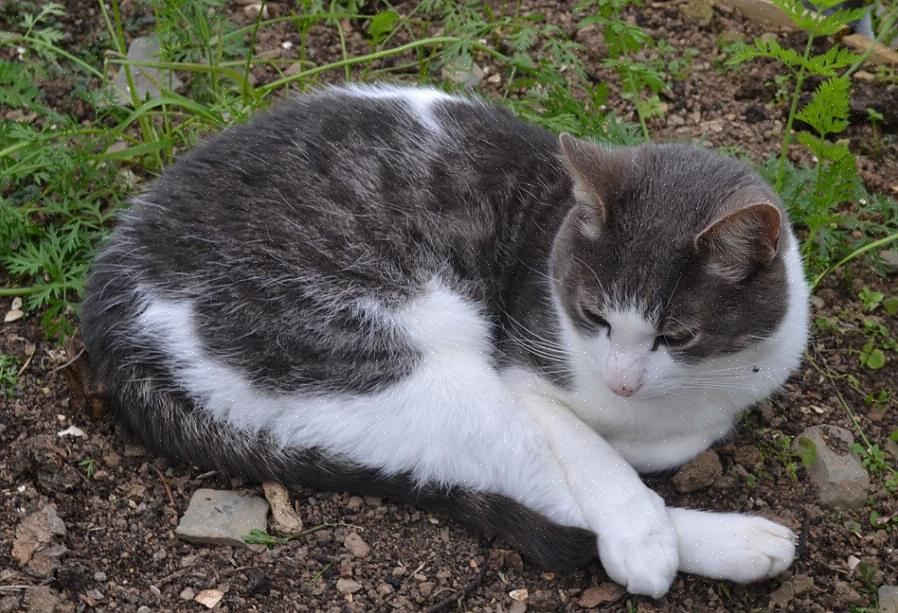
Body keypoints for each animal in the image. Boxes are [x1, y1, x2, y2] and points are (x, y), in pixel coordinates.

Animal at [80, 83, 808, 596]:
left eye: (676, 336)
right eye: (594, 315)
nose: (622, 380)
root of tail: (113, 295)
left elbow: (686, 433)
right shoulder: (527, 374)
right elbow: (594, 453)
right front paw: (640, 524)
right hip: (404, 366)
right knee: (536, 481)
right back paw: (720, 541)